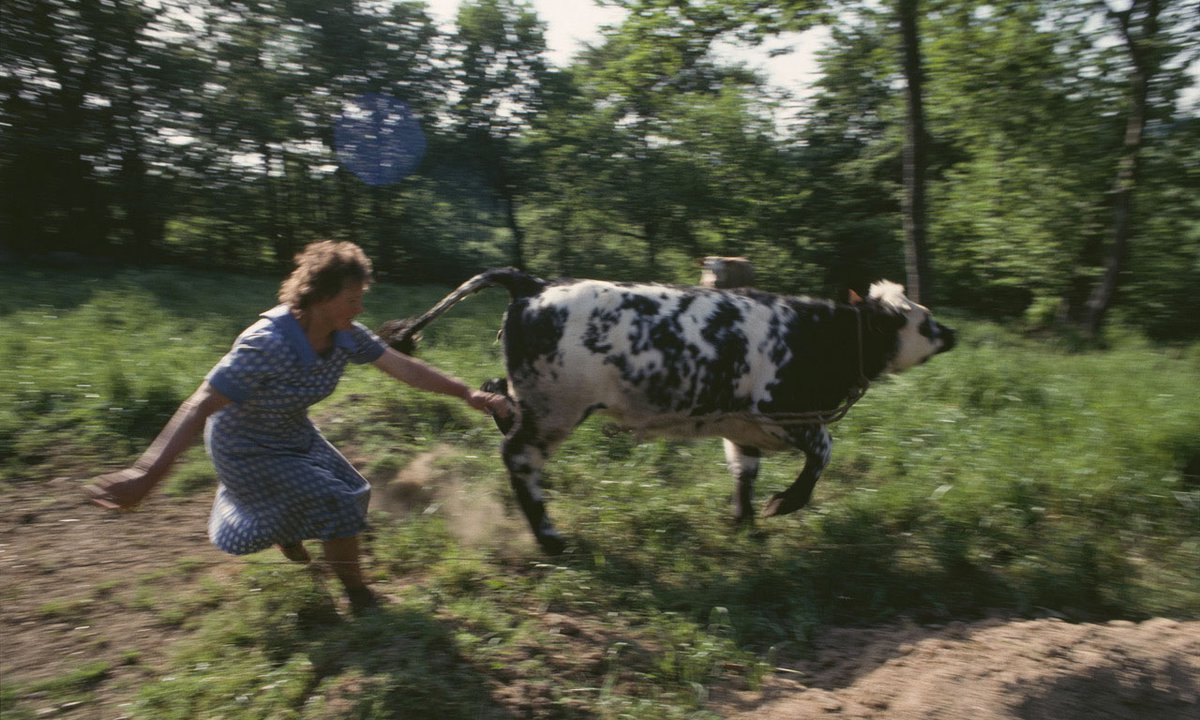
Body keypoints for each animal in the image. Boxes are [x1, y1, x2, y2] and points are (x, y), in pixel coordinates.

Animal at [380, 268, 956, 555]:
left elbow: (744, 473)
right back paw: (550, 539)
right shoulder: (783, 412)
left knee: (497, 398)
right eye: (924, 321)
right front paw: (782, 506)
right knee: (519, 458)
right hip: (555, 411)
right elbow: (822, 456)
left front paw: (744, 523)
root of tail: (536, 285)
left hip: (534, 400)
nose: (951, 332)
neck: (815, 335)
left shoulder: (740, 425)